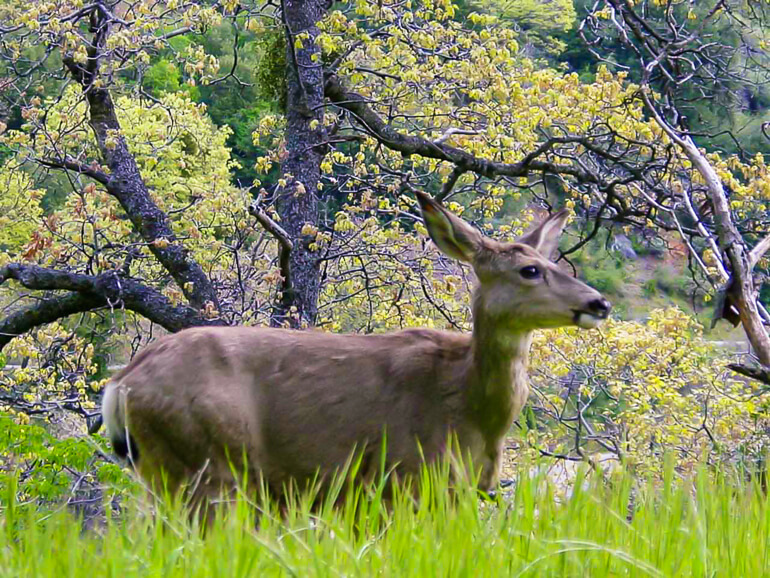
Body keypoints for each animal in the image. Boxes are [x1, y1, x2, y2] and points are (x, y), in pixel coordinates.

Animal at [102, 191, 608, 510]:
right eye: (529, 270)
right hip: (204, 465)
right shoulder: (401, 479)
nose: (598, 303)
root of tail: (120, 384)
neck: (466, 404)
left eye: (552, 261)